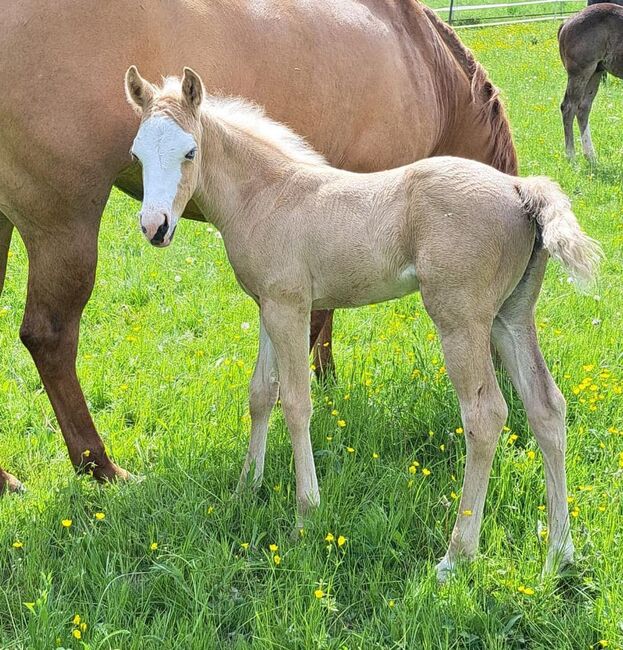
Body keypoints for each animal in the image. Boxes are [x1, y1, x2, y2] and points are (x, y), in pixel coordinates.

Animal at [0, 0, 516, 488]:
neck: (419, 60)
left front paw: (327, 377)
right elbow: (315, 324)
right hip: (63, 222)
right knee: (49, 336)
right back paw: (100, 466)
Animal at [124, 68, 604, 576]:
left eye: (189, 151)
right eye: (137, 154)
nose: (155, 226)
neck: (267, 195)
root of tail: (519, 189)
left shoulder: (290, 308)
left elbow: (296, 404)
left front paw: (306, 513)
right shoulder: (268, 306)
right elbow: (260, 395)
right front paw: (245, 489)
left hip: (461, 320)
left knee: (485, 416)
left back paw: (456, 555)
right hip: (510, 317)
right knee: (546, 407)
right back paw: (559, 551)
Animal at [560, 3, 623, 158]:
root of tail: (567, 22)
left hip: (596, 72)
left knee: (583, 108)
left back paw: (591, 156)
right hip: (581, 73)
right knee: (568, 108)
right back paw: (572, 157)